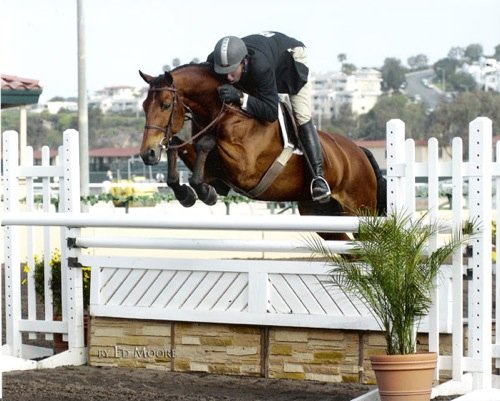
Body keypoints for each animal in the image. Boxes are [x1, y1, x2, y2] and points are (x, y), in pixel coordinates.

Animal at [139, 63, 384, 239]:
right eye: (143, 106)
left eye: (166, 105)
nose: (147, 153)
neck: (227, 111)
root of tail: (359, 151)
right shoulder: (215, 169)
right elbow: (178, 146)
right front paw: (187, 193)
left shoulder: (245, 168)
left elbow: (205, 143)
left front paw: (203, 191)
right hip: (322, 216)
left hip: (360, 210)